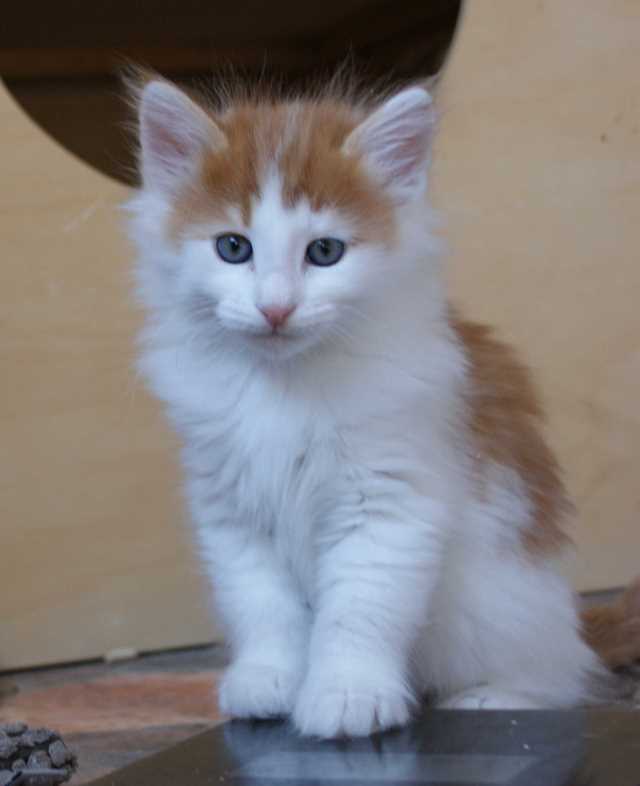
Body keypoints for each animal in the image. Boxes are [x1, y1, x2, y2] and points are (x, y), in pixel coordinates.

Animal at [126, 73, 639, 738]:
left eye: (324, 252)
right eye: (233, 247)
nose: (276, 308)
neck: (283, 387)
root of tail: (573, 622)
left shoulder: (386, 499)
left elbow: (358, 609)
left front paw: (348, 694)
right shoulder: (231, 510)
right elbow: (263, 606)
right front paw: (267, 679)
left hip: (495, 601)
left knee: (558, 677)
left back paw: (489, 698)